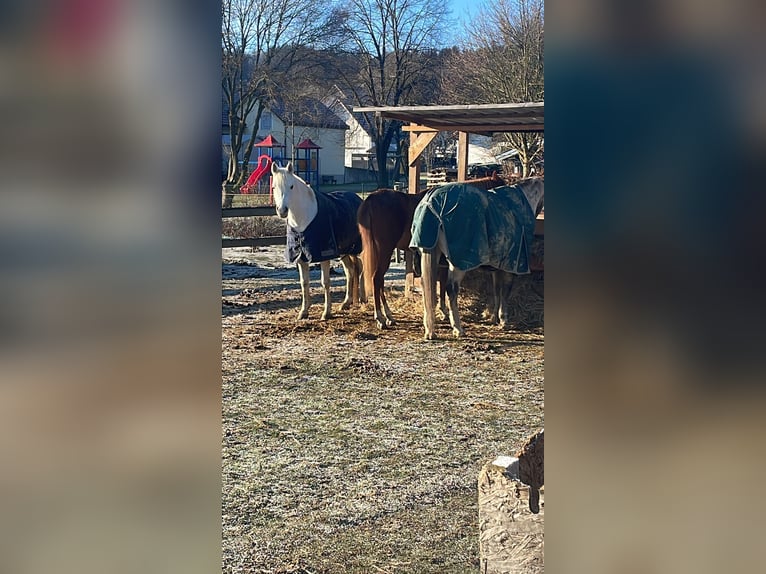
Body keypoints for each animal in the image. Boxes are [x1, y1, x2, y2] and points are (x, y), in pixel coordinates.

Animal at [270, 162, 366, 322]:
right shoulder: (300, 256)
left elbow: (325, 282)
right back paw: (346, 303)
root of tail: (359, 199)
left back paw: (363, 300)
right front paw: (303, 312)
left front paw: (326, 313)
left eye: (291, 186)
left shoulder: (324, 254)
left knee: (361, 268)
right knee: (351, 271)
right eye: (273, 187)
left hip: (357, 249)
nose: (282, 211)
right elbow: (304, 283)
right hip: (345, 251)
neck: (304, 218)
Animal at [358, 173, 508, 330]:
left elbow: (441, 286)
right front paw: (445, 313)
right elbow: (443, 286)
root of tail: (371, 199)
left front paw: (443, 311)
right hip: (385, 251)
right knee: (377, 279)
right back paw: (380, 318)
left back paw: (388, 316)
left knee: (379, 281)